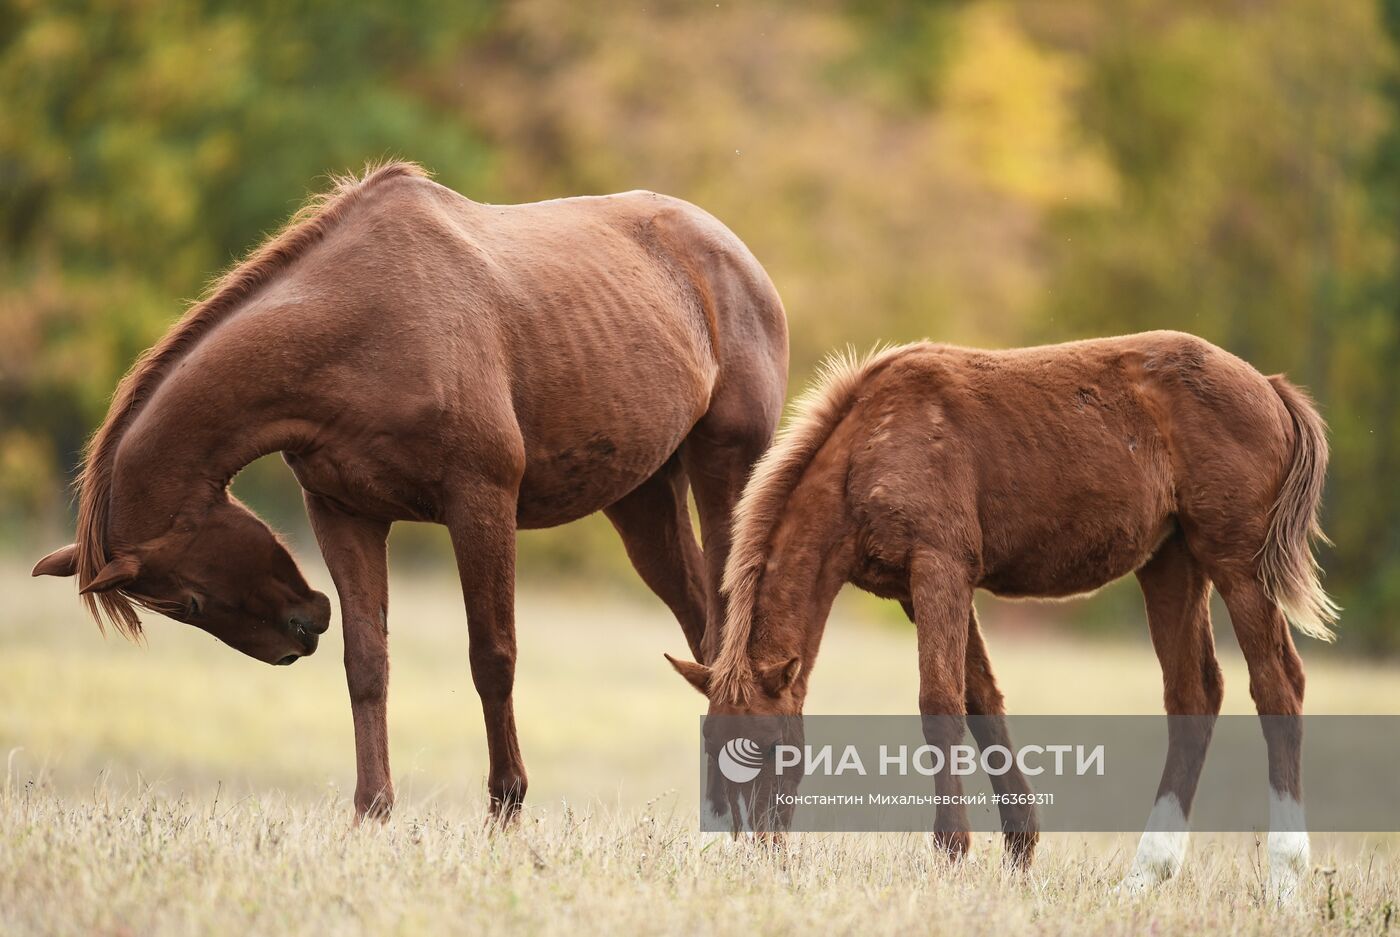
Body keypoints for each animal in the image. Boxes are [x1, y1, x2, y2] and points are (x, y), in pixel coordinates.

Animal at [30, 161, 789, 817]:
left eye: (185, 600)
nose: (298, 633)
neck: (361, 324)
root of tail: (736, 257)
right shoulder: (344, 513)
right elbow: (367, 664)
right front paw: (372, 813)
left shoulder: (481, 503)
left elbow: (493, 656)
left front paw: (505, 808)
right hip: (641, 499)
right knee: (703, 632)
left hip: (726, 472)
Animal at [672, 334, 1338, 896]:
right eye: (710, 748)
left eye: (768, 749)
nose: (758, 851)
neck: (868, 449)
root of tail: (1269, 387)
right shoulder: (921, 588)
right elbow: (982, 702)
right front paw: (1019, 850)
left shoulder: (940, 566)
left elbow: (940, 705)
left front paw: (950, 852)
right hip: (1171, 564)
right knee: (1193, 694)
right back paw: (1145, 876)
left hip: (1237, 563)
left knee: (1278, 685)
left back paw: (1285, 878)